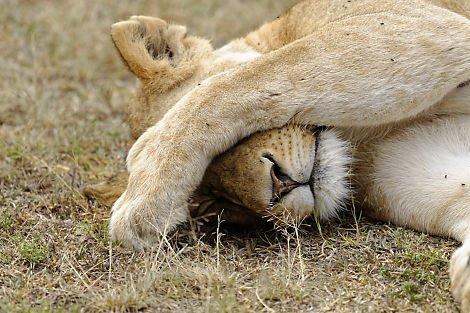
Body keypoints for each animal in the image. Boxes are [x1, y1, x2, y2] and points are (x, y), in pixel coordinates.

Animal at [83, 0, 470, 310]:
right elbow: (457, 196)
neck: (357, 137)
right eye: (217, 205)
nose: (282, 186)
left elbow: (243, 81)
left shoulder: (414, 21)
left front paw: (143, 191)